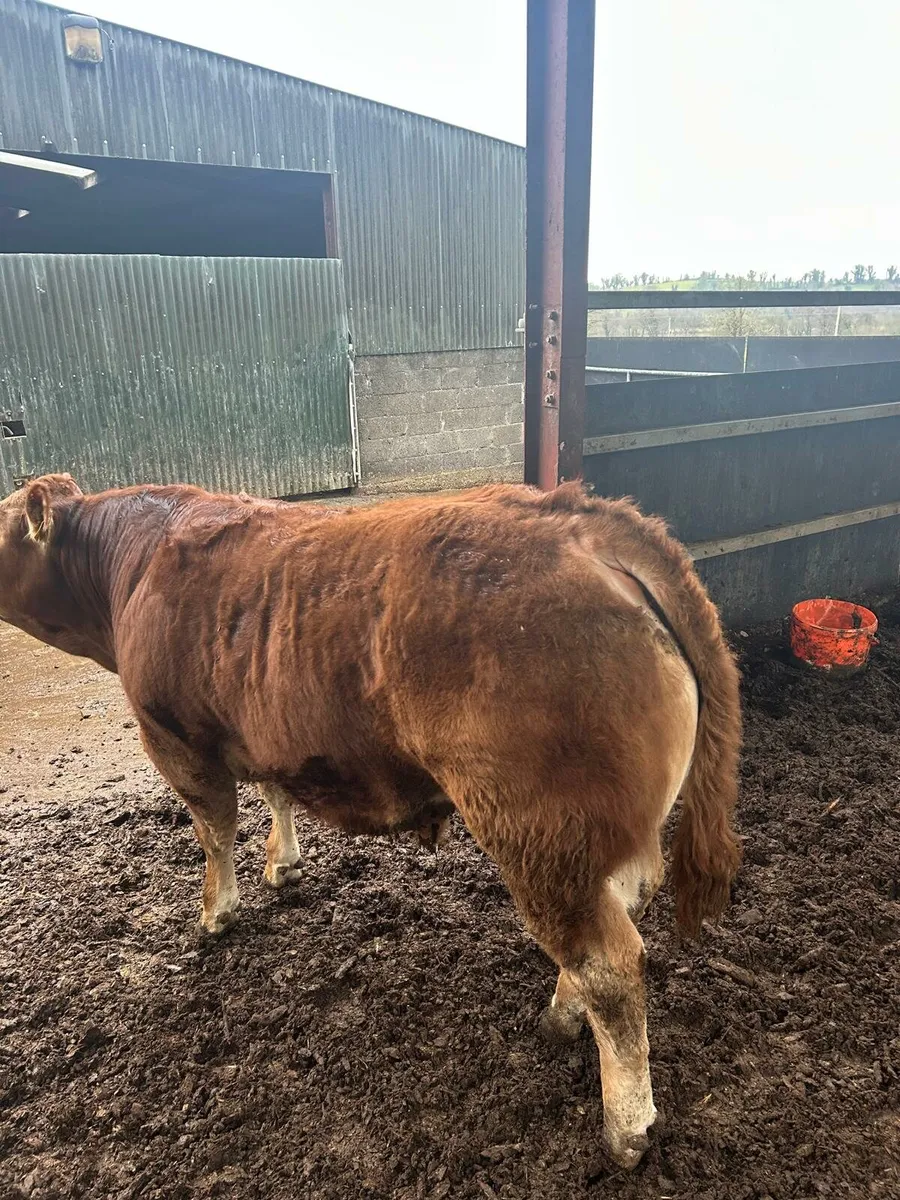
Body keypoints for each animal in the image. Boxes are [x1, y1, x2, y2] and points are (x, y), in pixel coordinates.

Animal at [0, 473, 741, 1168]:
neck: (132, 560)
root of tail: (580, 520)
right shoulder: (265, 729)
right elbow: (275, 792)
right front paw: (283, 862)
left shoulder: (177, 740)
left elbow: (214, 830)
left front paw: (216, 912)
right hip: (603, 838)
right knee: (619, 915)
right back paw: (563, 1017)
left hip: (542, 832)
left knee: (607, 962)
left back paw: (626, 1127)